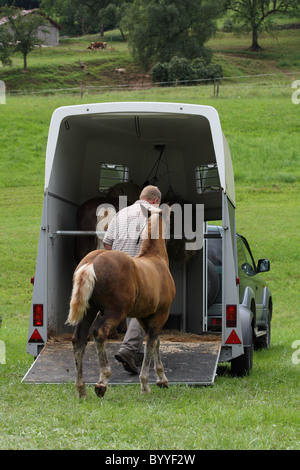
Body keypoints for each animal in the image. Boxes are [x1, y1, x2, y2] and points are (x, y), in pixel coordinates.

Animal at [65, 205, 173, 396]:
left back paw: (81, 390)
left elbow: (156, 341)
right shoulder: (161, 313)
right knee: (99, 332)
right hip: (114, 312)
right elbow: (151, 343)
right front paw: (145, 384)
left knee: (78, 340)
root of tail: (91, 262)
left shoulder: (145, 317)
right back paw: (102, 381)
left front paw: (161, 379)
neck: (155, 258)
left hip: (88, 311)